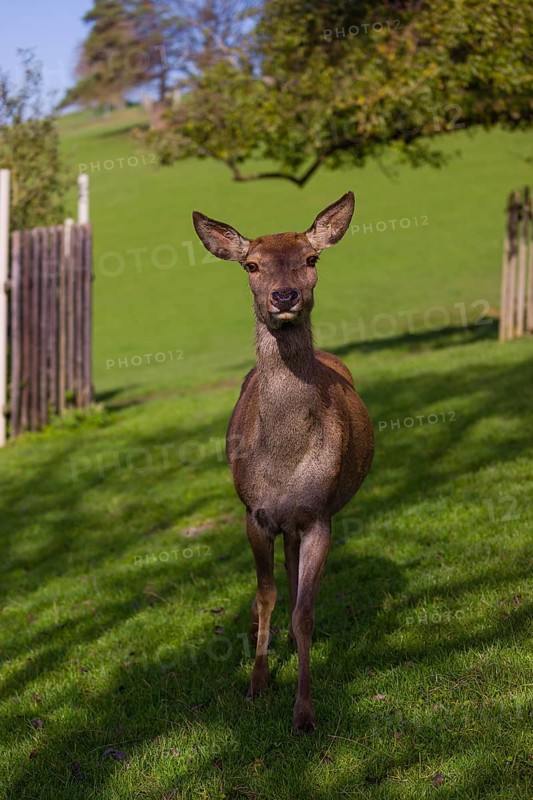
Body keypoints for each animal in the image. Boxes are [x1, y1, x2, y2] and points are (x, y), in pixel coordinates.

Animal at [192, 191, 374, 732]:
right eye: (251, 264)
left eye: (311, 258)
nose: (285, 296)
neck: (285, 465)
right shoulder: (254, 513)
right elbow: (265, 596)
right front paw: (256, 684)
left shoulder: (318, 515)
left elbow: (305, 610)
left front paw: (304, 712)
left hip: (305, 520)